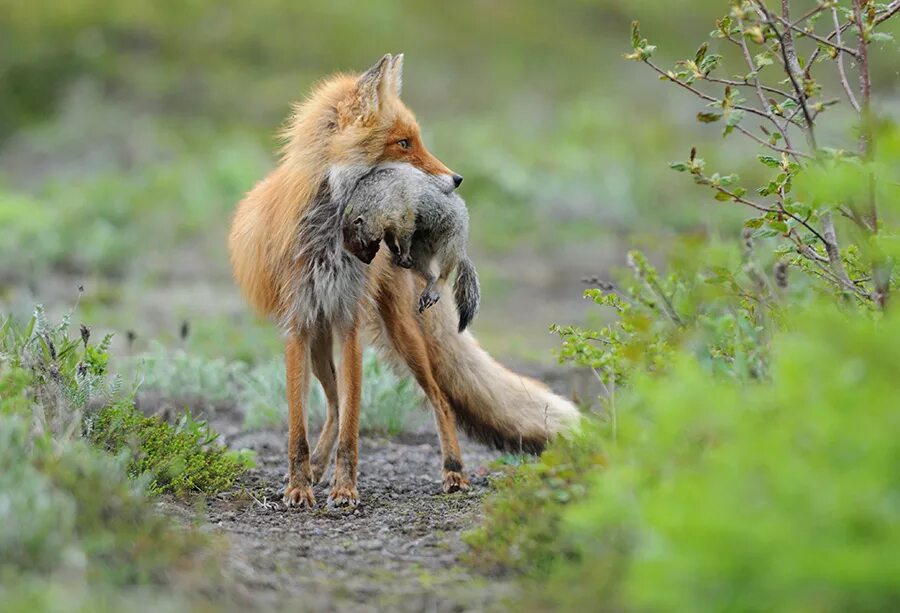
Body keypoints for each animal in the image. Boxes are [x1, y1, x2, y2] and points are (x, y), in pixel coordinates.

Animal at [229, 55, 580, 510]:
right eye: (403, 144)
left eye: (415, 140)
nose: (457, 179)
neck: (328, 237)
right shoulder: (298, 326)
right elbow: (298, 428)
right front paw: (300, 486)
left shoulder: (351, 324)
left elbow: (353, 425)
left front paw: (345, 489)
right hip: (321, 341)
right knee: (333, 405)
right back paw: (318, 468)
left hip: (401, 333)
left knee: (439, 401)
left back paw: (454, 471)